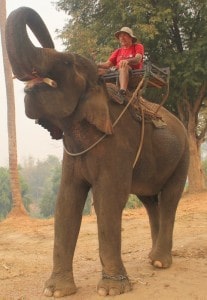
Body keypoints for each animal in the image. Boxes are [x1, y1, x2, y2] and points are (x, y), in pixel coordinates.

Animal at [5, 6, 189, 298]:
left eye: (67, 64)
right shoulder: (72, 153)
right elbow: (66, 201)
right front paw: (55, 291)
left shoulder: (117, 144)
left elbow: (108, 199)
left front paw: (111, 289)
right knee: (150, 201)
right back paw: (152, 258)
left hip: (183, 156)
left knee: (170, 198)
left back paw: (160, 262)